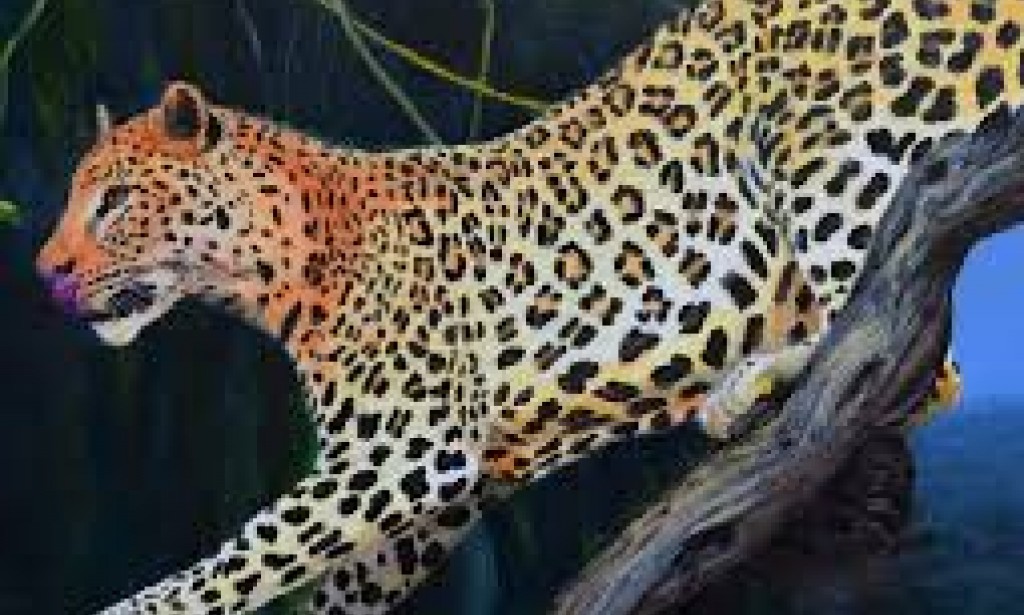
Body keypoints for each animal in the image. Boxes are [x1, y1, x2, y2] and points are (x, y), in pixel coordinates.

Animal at [36, 0, 1007, 612]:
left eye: (114, 200)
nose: (46, 273)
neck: (287, 265)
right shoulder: (433, 489)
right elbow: (332, 577)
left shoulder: (406, 452)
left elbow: (239, 558)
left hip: (827, 153)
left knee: (913, 354)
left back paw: (750, 386)